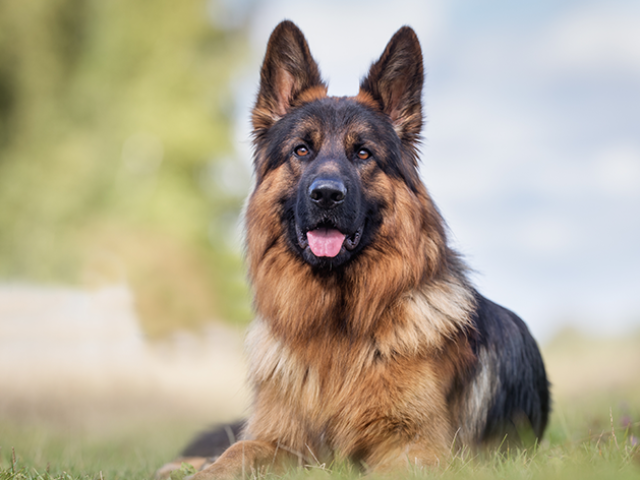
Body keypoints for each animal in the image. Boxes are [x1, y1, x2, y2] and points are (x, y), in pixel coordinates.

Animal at [158, 19, 548, 480]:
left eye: (362, 153)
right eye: (301, 150)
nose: (327, 194)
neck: (336, 330)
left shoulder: (415, 448)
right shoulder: (280, 439)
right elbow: (236, 452)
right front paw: (206, 468)